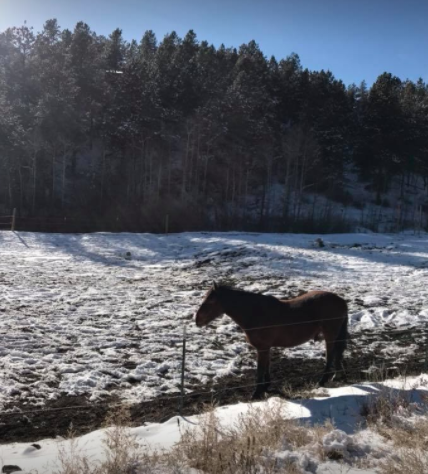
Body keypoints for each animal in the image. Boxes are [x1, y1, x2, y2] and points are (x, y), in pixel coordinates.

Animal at [194, 284, 348, 398]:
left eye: (211, 301)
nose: (197, 320)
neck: (254, 313)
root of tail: (340, 300)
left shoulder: (262, 348)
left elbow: (260, 370)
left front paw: (256, 393)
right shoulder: (266, 348)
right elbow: (266, 366)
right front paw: (265, 387)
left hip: (330, 335)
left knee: (331, 355)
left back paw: (323, 380)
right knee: (337, 354)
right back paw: (336, 376)